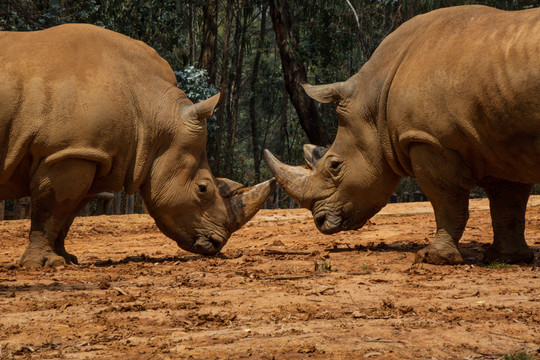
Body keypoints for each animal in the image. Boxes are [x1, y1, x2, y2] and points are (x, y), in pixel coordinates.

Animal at [0, 23, 276, 268]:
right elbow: (51, 210)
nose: (217, 243)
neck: (152, 110)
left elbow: (67, 212)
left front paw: (67, 260)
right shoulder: (65, 152)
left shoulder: (91, 154)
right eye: (202, 189)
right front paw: (45, 265)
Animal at [266, 4, 540, 264]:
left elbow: (447, 202)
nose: (320, 221)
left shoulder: (430, 141)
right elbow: (508, 204)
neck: (374, 98)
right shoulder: (502, 140)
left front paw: (433, 258)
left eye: (334, 166)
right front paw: (507, 258)